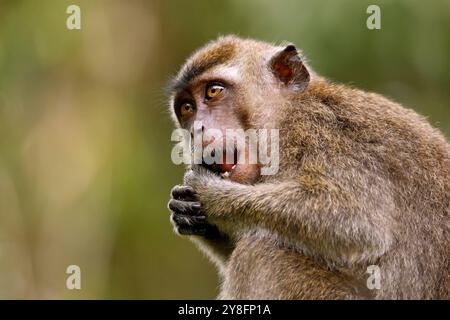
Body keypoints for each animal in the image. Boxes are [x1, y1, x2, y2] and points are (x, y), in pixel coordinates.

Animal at [166, 35, 450, 300]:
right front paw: (193, 215)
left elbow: (360, 220)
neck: (287, 113)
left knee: (260, 254)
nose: (196, 129)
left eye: (213, 91)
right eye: (187, 108)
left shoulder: (318, 132)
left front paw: (211, 196)